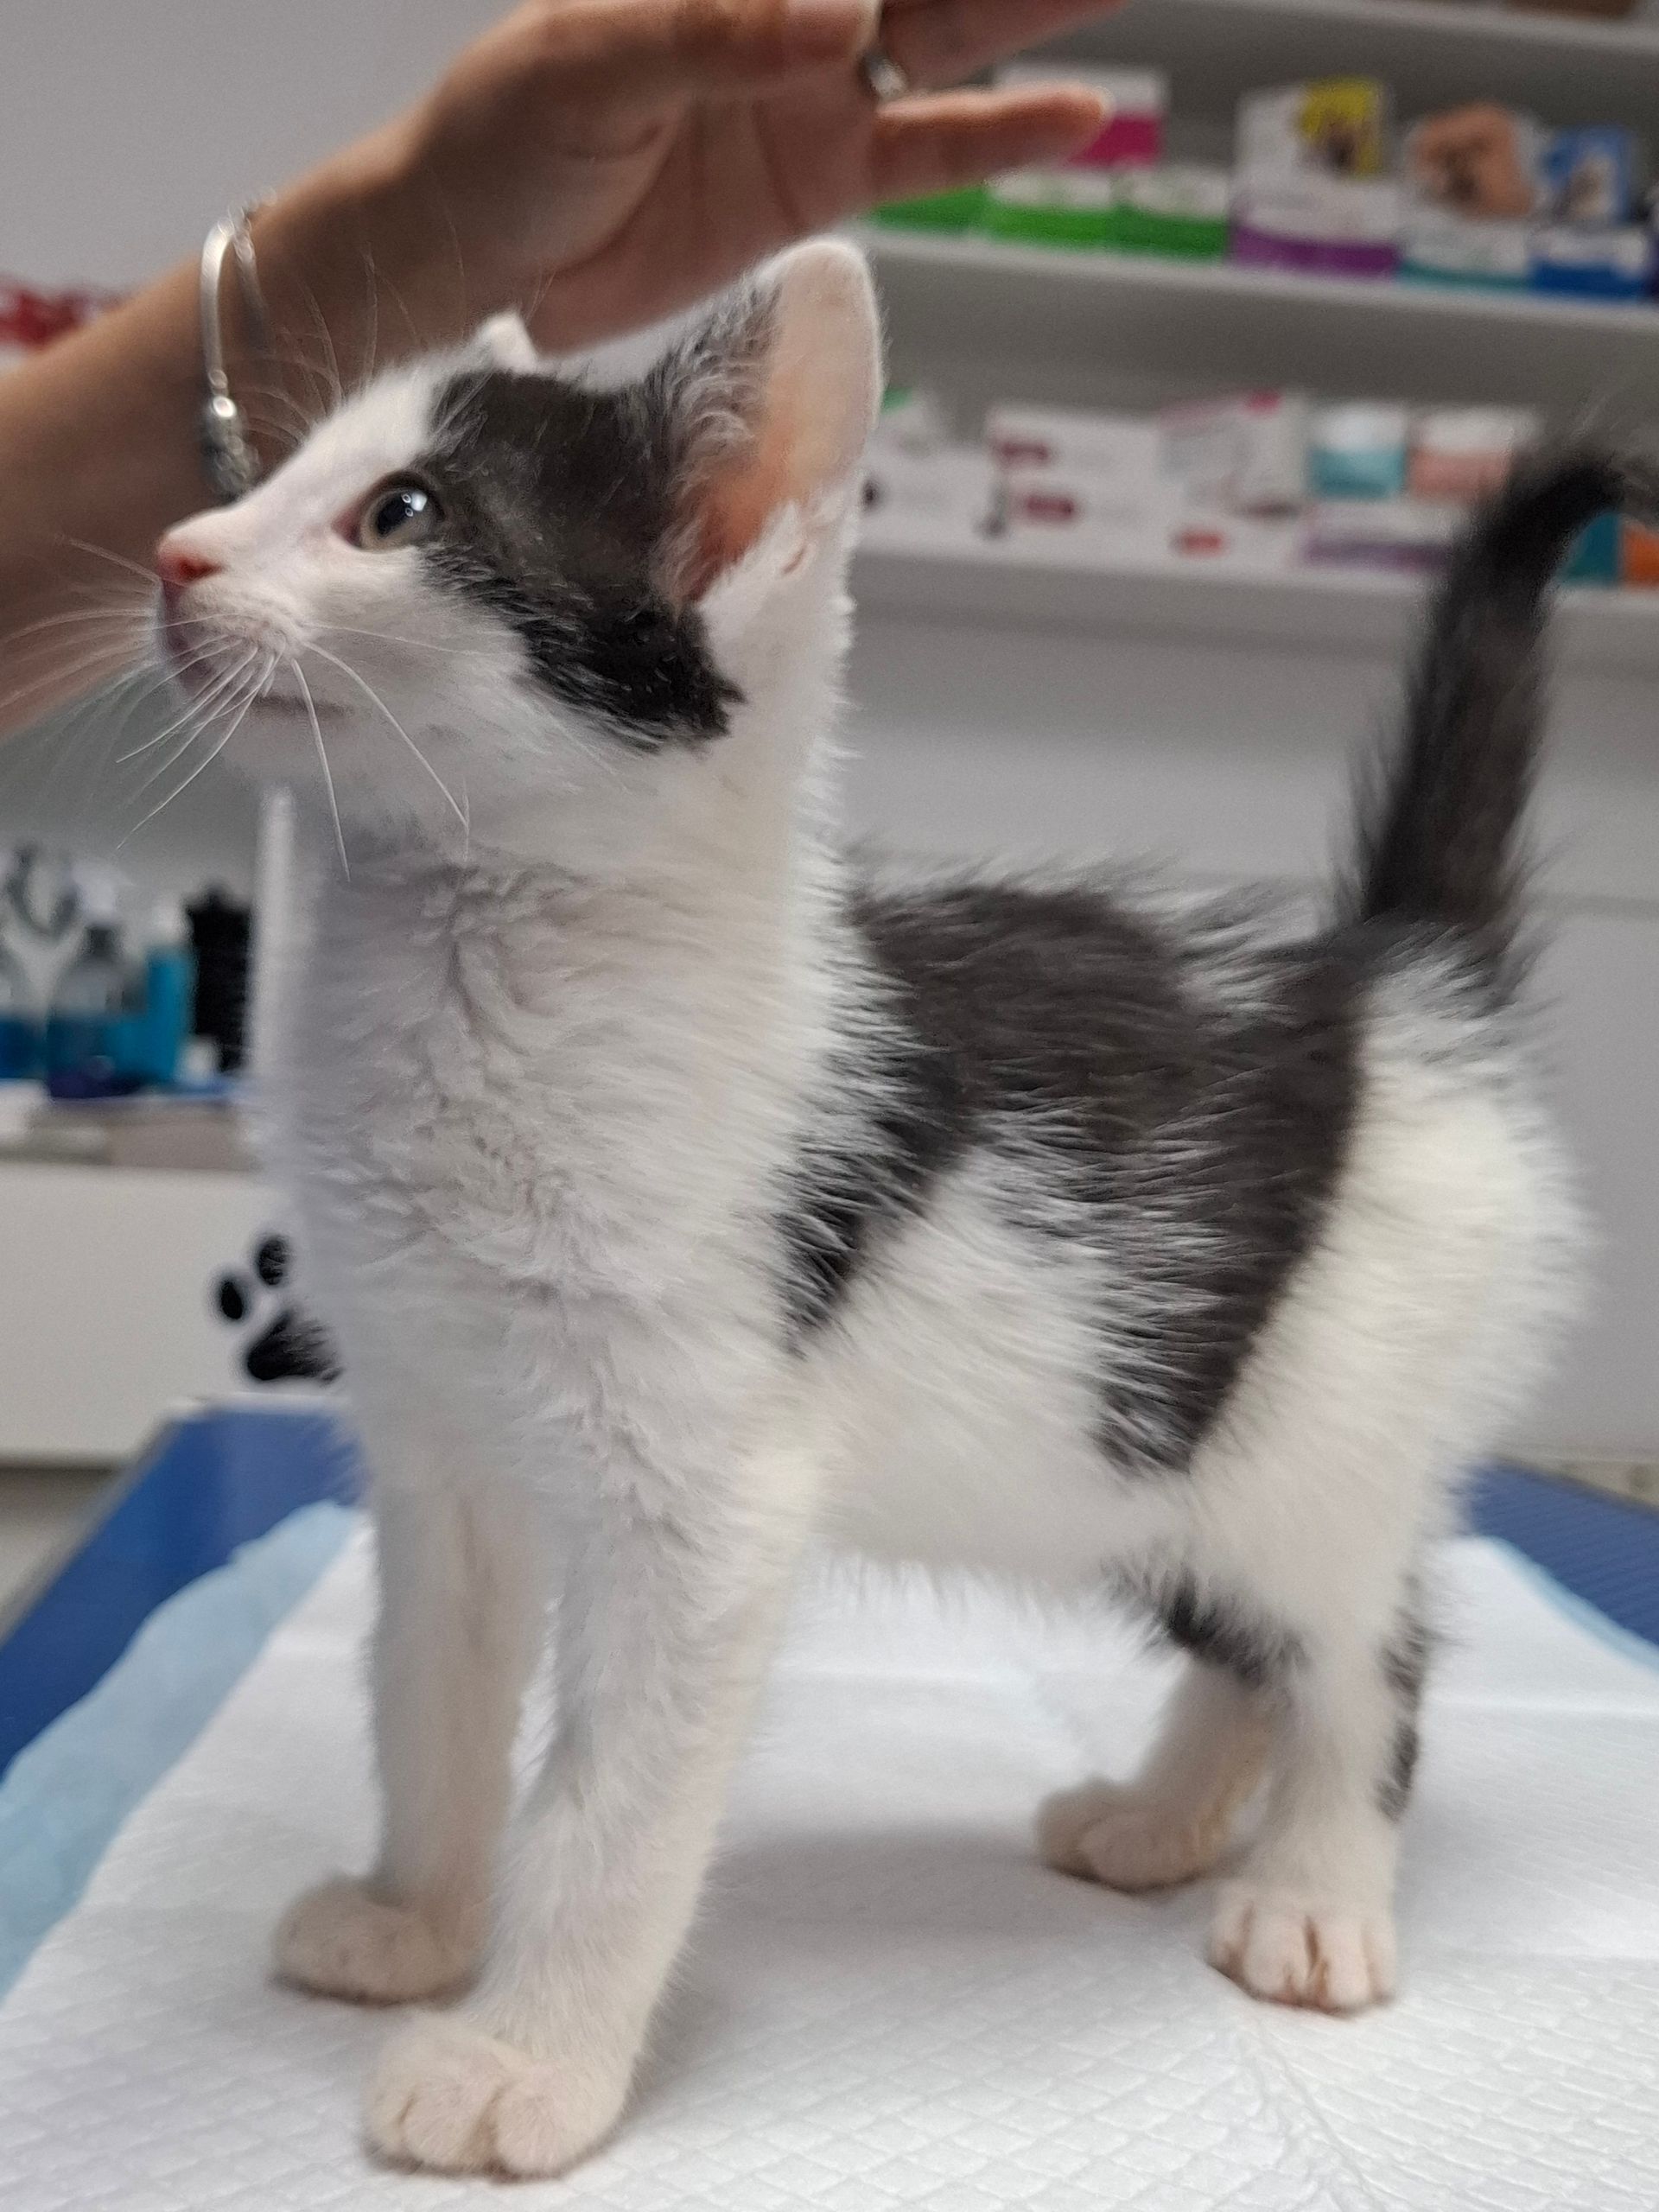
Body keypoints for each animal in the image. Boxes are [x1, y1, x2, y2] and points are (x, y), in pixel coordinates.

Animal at [150, 238, 1631, 2179]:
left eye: (400, 513)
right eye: (273, 473)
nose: (179, 553)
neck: (473, 979)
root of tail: (1395, 980)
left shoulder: (706, 1505)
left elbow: (610, 1802)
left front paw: (528, 2060)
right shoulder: (437, 1451)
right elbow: (432, 1696)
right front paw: (415, 1919)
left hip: (1329, 1437)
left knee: (1364, 1655)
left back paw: (1317, 1893)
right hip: (1159, 1439)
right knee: (1253, 1646)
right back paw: (1164, 1820)